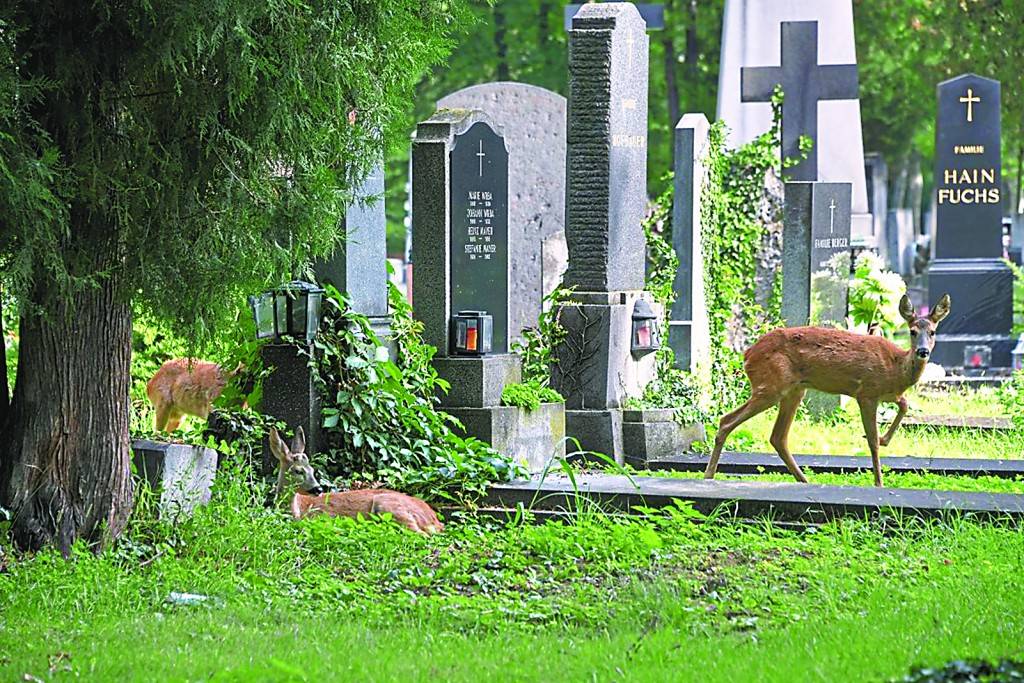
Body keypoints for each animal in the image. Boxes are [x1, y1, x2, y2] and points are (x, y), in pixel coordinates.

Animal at [268, 428, 444, 532]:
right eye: (298, 470)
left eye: (312, 470)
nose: (318, 489)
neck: (298, 510)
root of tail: (434, 519)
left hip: (388, 505)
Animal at [704, 294, 950, 485]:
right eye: (912, 331)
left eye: (933, 332)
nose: (922, 352)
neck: (896, 367)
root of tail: (747, 355)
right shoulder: (866, 393)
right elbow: (871, 441)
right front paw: (879, 482)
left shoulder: (889, 394)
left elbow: (905, 405)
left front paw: (885, 440)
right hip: (770, 386)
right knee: (727, 420)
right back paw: (709, 475)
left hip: (794, 390)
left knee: (778, 436)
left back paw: (804, 480)